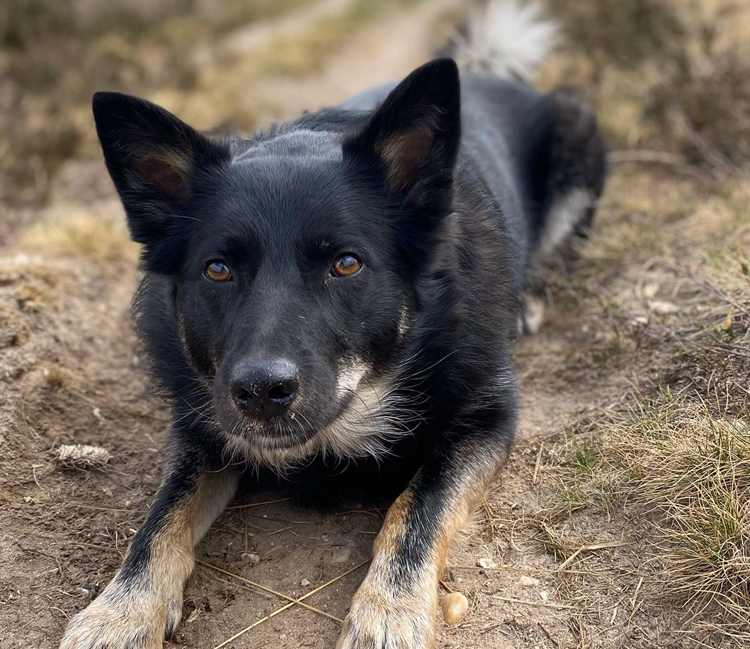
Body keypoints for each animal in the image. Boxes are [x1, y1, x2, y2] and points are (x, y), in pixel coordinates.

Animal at [61, 2, 608, 644]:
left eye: (346, 264)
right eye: (217, 269)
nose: (261, 391)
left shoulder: (487, 417)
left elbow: (417, 505)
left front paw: (390, 610)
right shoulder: (199, 425)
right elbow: (160, 518)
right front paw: (119, 611)